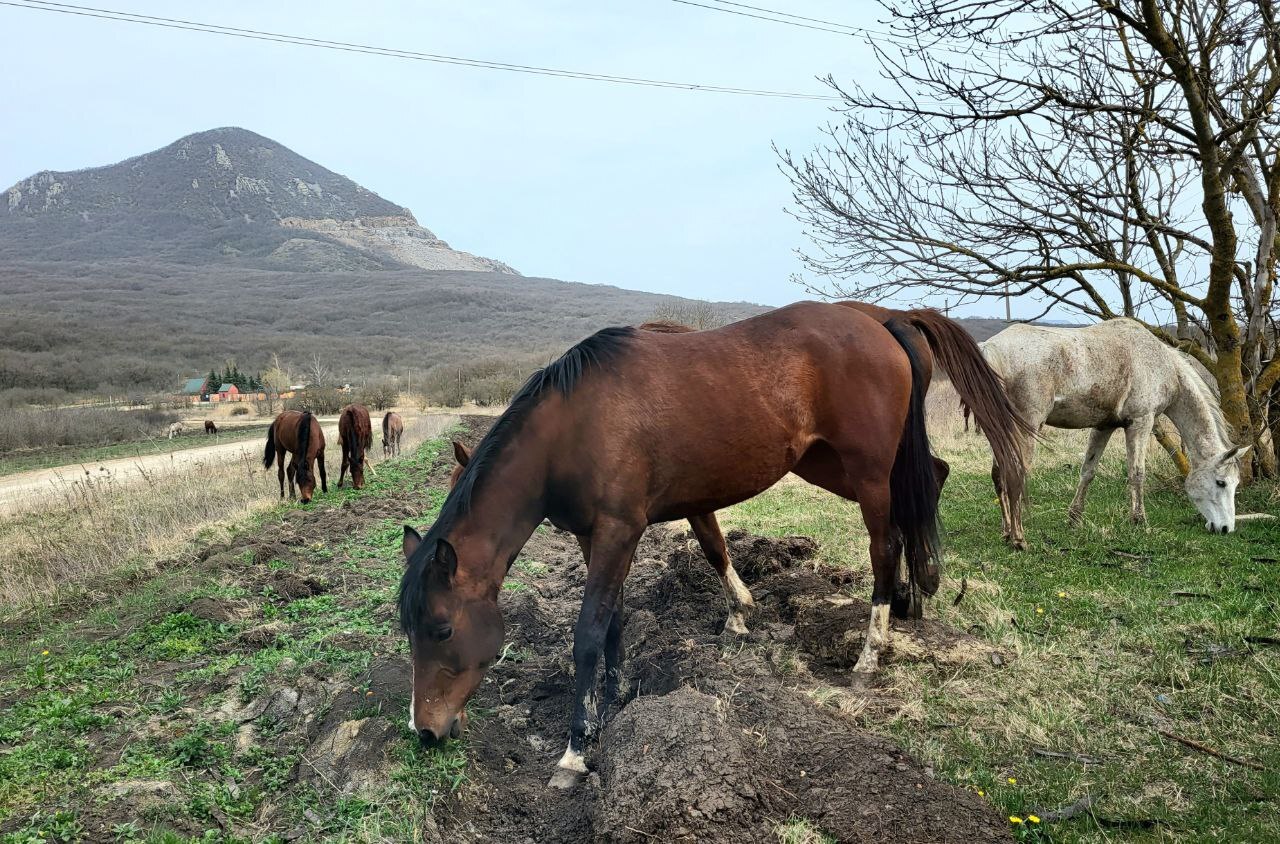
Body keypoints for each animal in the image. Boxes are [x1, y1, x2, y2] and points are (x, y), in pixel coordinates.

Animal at [399, 302, 1029, 783]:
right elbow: (615, 620)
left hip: (868, 472)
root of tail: (881, 321)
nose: (425, 730)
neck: (574, 427)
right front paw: (616, 698)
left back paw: (872, 649)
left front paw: (576, 750)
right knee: (926, 491)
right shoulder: (595, 537)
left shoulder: (619, 532)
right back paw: (914, 596)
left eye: (442, 629)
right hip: (833, 465)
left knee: (886, 544)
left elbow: (588, 633)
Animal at [983, 318, 1244, 548]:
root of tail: (990, 349)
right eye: (1221, 483)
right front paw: (1139, 521)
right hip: (1025, 429)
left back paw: (1007, 532)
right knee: (1014, 474)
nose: (1226, 528)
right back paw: (1018, 539)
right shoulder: (1141, 422)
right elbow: (1137, 473)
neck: (1161, 363)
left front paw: (1074, 519)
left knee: (998, 474)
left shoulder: (1103, 426)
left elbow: (1088, 472)